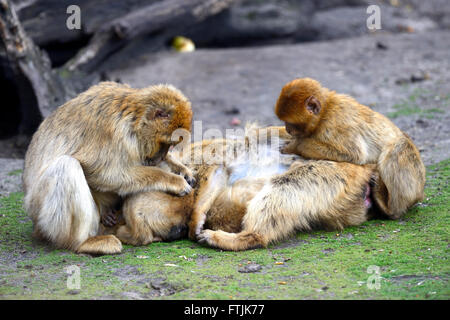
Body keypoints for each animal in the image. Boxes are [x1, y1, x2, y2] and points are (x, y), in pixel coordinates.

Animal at [22, 80, 195, 255]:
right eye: (167, 144)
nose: (161, 156)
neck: (134, 117)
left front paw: (182, 169)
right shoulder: (112, 131)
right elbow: (103, 173)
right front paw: (174, 181)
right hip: (40, 213)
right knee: (66, 166)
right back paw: (82, 243)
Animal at [274, 77, 426, 220]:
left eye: (290, 123)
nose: (287, 129)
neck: (324, 112)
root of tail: (419, 192)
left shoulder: (336, 123)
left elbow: (354, 154)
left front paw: (294, 145)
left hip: (414, 179)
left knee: (398, 146)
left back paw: (391, 209)